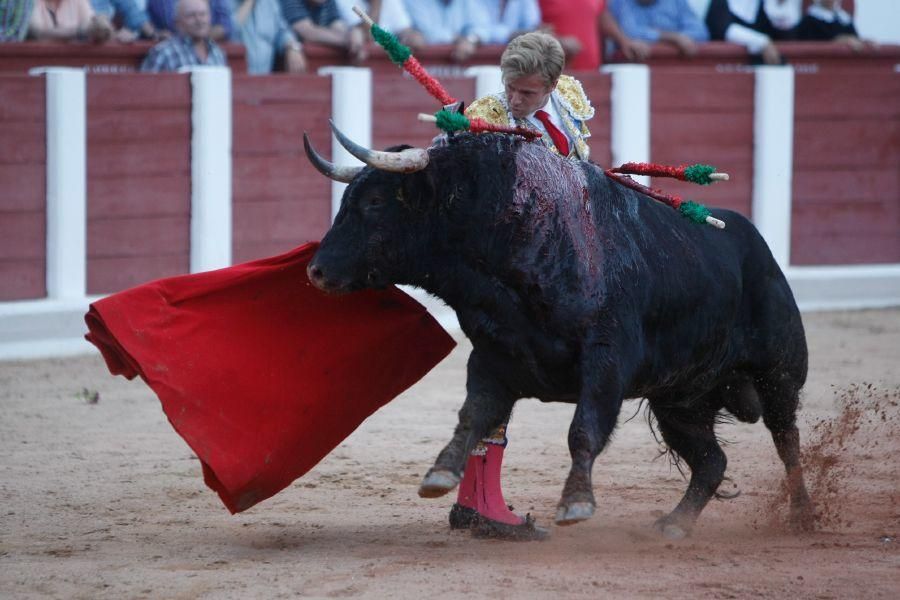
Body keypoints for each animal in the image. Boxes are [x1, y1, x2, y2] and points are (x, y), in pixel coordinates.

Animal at [304, 129, 816, 536]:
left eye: (373, 203)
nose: (317, 270)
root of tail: (756, 243)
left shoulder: (606, 361)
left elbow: (583, 430)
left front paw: (576, 503)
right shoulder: (493, 359)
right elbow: (473, 418)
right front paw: (439, 475)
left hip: (778, 373)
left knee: (786, 439)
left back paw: (802, 516)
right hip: (680, 400)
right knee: (711, 463)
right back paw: (674, 524)